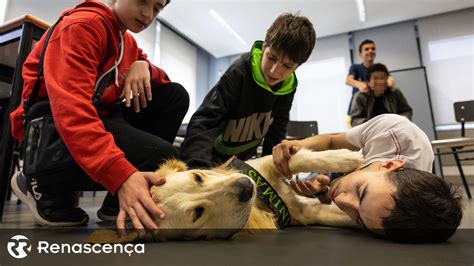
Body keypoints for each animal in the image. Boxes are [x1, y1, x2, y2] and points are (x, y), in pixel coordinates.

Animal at [89, 149, 362, 242]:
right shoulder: (309, 212)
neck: (261, 204)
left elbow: (300, 158)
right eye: (197, 213)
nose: (246, 186)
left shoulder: (268, 164)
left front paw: (349, 157)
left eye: (197, 178)